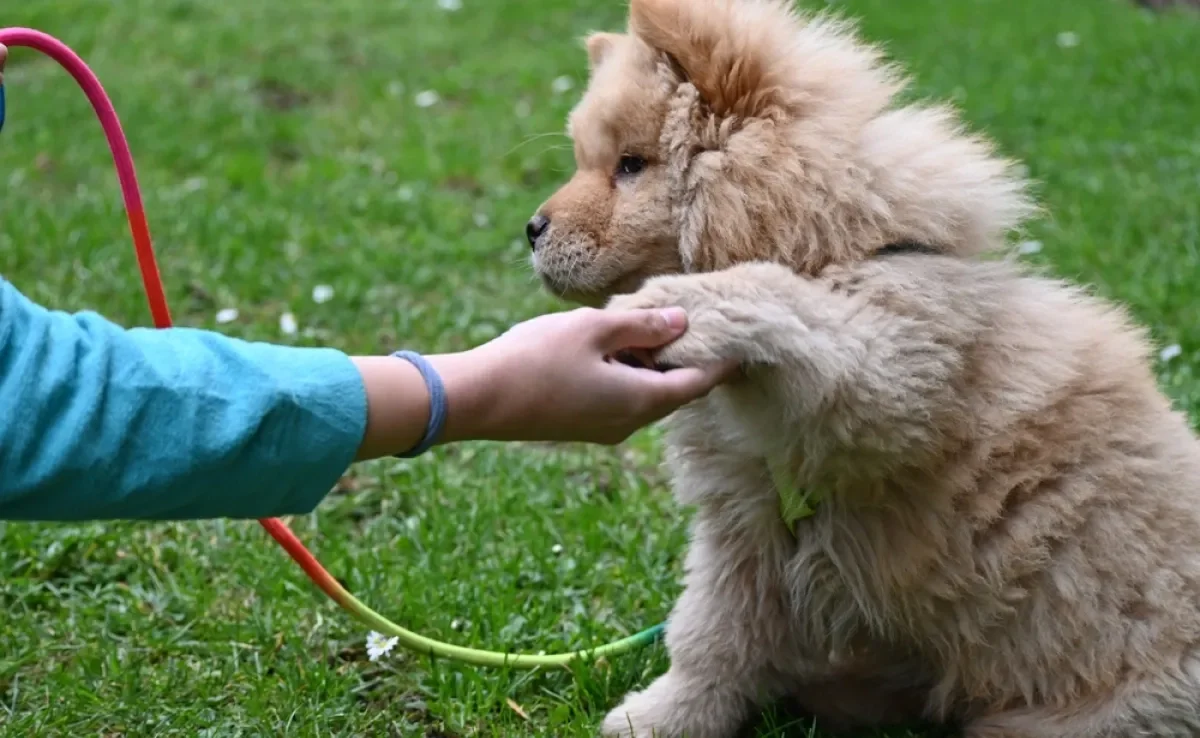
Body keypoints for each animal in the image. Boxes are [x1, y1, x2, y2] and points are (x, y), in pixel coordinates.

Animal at [528, 1, 1200, 738]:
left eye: (631, 165)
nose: (530, 229)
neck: (838, 246)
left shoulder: (891, 371)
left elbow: (779, 296)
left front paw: (679, 301)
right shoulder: (745, 525)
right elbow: (711, 633)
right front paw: (664, 717)